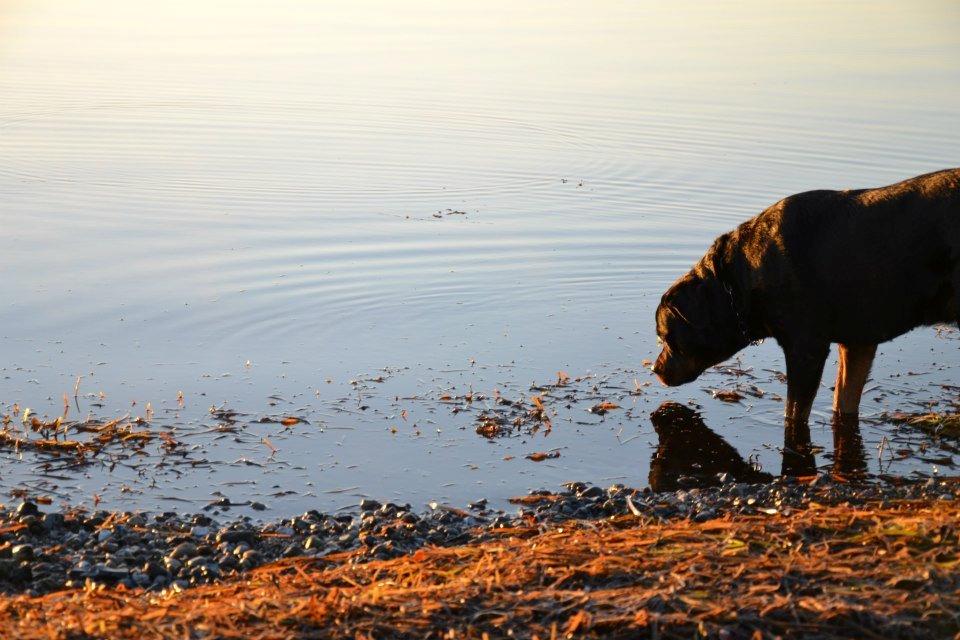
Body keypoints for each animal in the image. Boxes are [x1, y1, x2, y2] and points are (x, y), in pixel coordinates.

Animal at [652, 169, 960, 430]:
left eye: (667, 337)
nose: (655, 368)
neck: (740, 279)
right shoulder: (857, 344)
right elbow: (843, 402)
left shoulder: (806, 349)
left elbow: (795, 411)